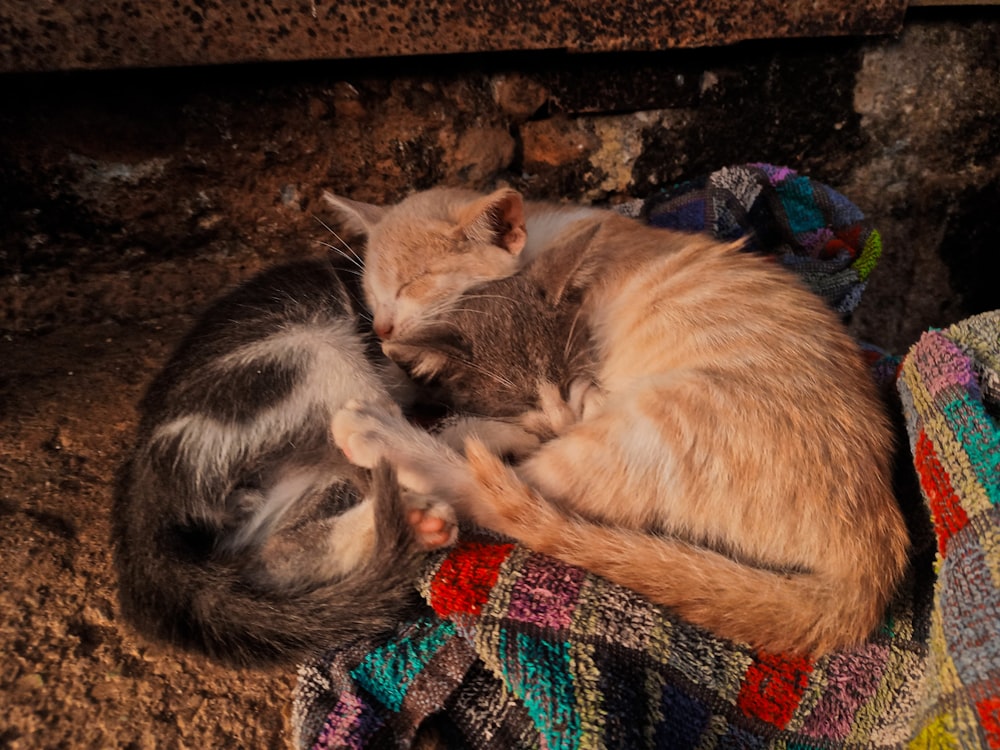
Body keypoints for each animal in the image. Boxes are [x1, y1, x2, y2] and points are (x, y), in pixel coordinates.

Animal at [322, 188, 916, 656]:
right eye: (373, 292)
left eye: (416, 282)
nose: (382, 326)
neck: (541, 231)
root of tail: (872, 566)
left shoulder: (585, 385)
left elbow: (542, 418)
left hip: (660, 421)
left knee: (504, 494)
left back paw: (385, 450)